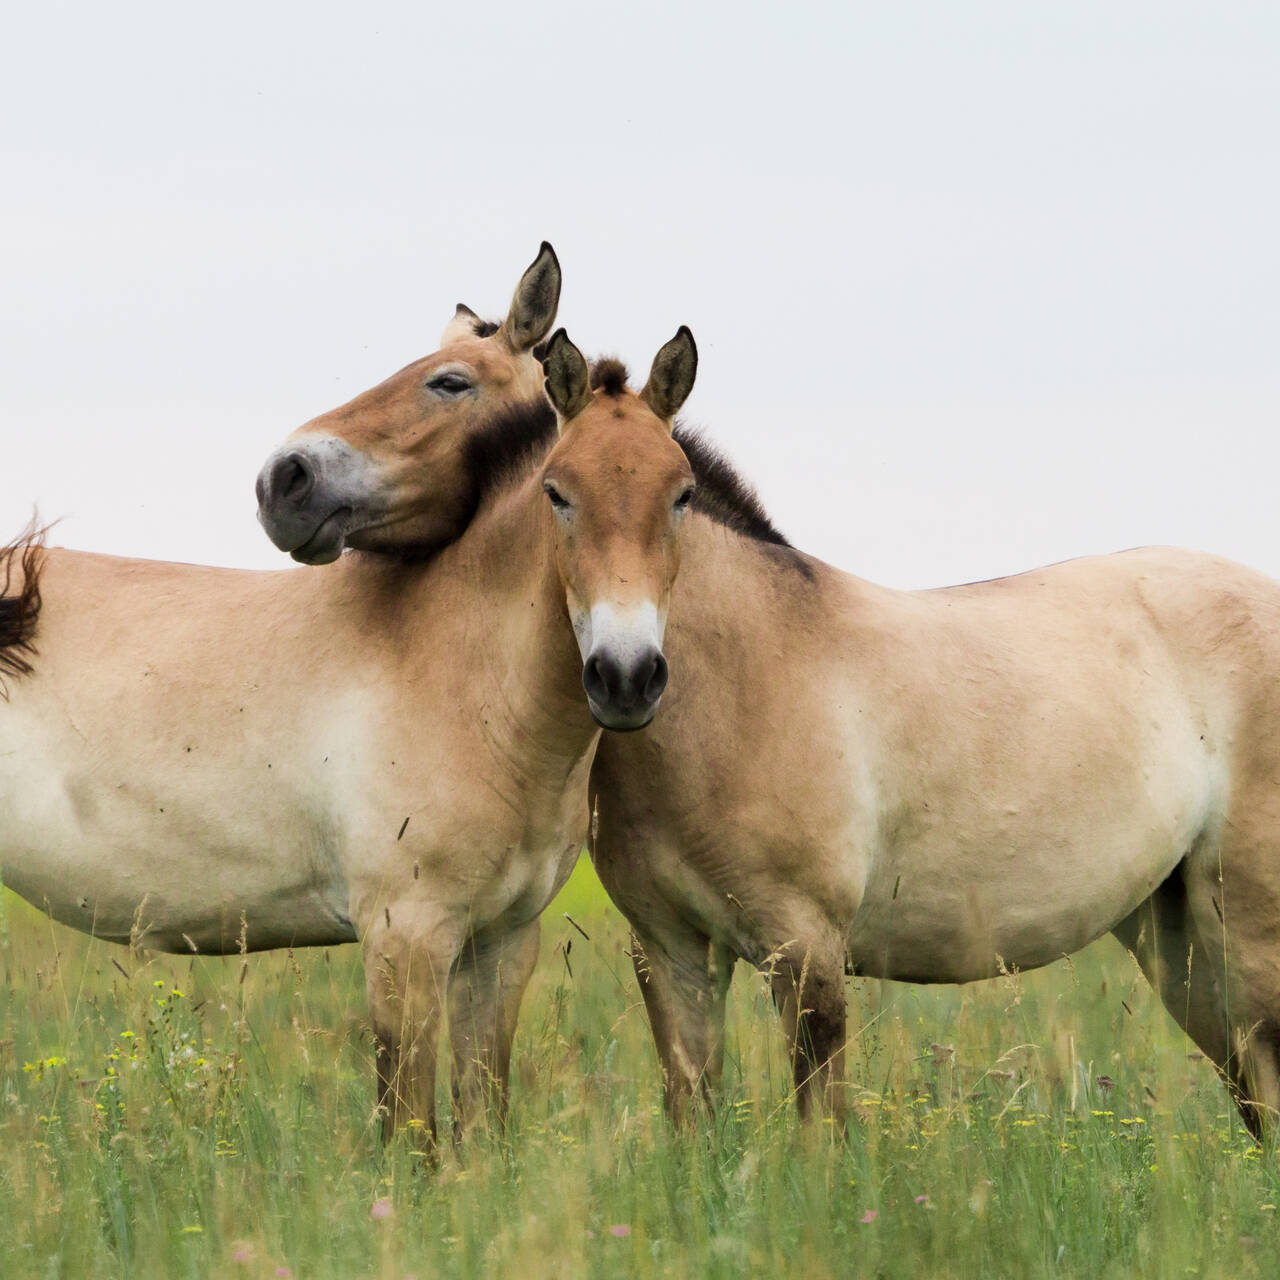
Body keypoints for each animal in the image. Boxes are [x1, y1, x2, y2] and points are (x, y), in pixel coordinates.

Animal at [0, 247, 701, 1141]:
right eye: (556, 493)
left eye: (682, 495)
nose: (626, 675)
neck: (463, 677)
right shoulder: (405, 941)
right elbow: (411, 1136)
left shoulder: (500, 946)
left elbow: (482, 1125)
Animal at [267, 332, 1280, 1141]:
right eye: (556, 492)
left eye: (680, 496)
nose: (285, 483)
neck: (741, 680)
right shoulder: (673, 951)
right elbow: (695, 1121)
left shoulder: (806, 951)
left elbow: (819, 1132)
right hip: (1178, 941)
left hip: (1243, 936)